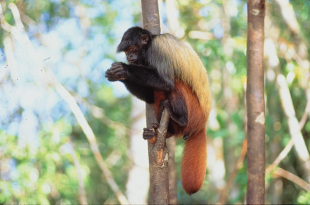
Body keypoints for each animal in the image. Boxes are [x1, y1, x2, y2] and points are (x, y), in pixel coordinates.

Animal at [104, 27, 211, 195]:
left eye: (131, 49)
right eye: (126, 51)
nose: (129, 57)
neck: (148, 46)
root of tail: (203, 124)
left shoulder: (157, 49)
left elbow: (165, 82)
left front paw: (124, 69)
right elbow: (150, 96)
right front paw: (119, 75)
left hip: (195, 112)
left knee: (174, 83)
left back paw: (180, 119)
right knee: (157, 93)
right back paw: (163, 132)